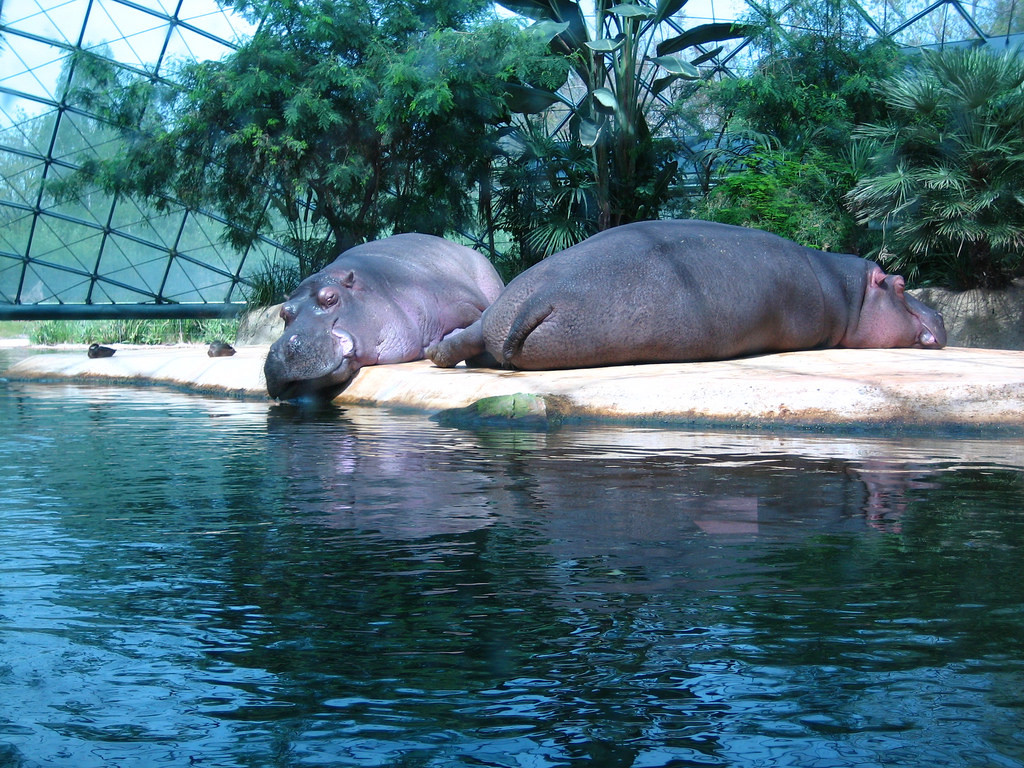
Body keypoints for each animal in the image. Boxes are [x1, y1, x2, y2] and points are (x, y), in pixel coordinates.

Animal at [428, 219, 946, 372]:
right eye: (903, 285)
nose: (939, 314)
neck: (849, 292)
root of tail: (543, 296)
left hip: (508, 303)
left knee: (477, 333)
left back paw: (438, 353)